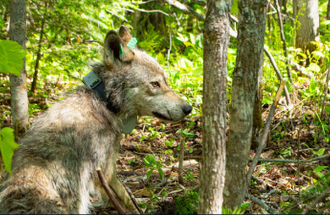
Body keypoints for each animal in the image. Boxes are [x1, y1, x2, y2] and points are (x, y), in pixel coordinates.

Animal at [0, 25, 192, 213]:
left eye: (166, 82)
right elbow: (130, 202)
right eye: (154, 84)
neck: (103, 102)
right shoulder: (106, 174)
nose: (188, 108)